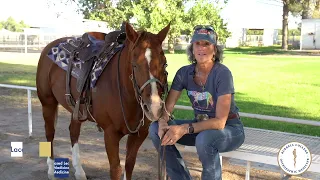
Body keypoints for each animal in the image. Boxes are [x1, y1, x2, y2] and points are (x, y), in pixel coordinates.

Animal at [35, 22, 170, 180]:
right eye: (135, 65)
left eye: (164, 64)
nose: (154, 107)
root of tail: (49, 46)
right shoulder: (110, 135)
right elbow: (115, 169)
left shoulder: (139, 134)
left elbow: (129, 166)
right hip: (48, 103)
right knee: (50, 133)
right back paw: (51, 171)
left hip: (77, 109)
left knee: (73, 132)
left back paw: (79, 172)